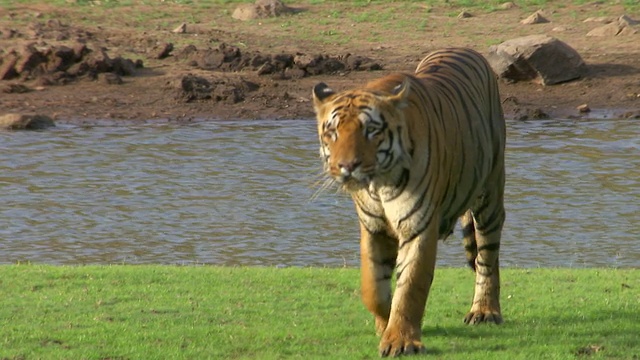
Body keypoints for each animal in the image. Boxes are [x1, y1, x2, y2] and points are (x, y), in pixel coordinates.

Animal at [312, 47, 508, 358]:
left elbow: (411, 286)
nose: (347, 166)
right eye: (332, 132)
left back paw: (485, 311)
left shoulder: (419, 226)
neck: (379, 184)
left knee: (487, 257)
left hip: (490, 192)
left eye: (371, 131)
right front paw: (384, 323)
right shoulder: (373, 227)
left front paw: (400, 341)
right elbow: (372, 287)